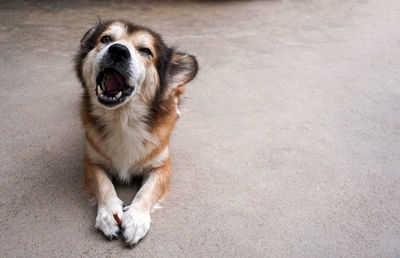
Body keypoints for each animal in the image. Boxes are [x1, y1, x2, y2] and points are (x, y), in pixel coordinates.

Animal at [74, 19, 198, 245]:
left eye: (145, 51)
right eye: (106, 39)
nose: (118, 51)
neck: (123, 119)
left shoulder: (162, 166)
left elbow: (147, 192)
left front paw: (136, 220)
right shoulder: (91, 162)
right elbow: (104, 185)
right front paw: (109, 215)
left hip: (178, 87)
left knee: (175, 93)